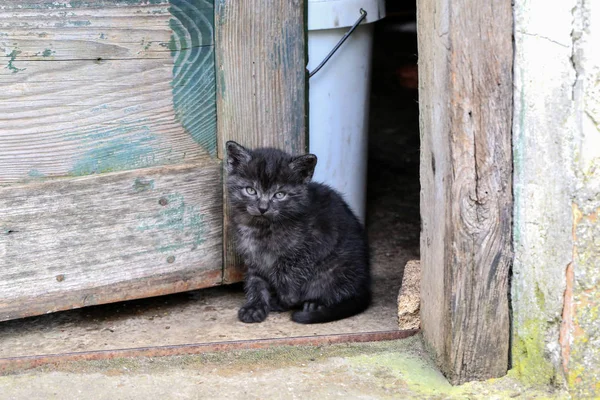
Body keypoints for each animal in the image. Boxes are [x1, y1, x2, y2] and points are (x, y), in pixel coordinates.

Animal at [225, 142, 370, 324]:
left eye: (280, 194)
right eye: (251, 190)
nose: (263, 208)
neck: (262, 227)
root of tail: (365, 283)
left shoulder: (308, 248)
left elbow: (287, 278)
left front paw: (282, 301)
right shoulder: (253, 255)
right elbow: (256, 280)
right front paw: (255, 306)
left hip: (337, 268)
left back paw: (316, 304)